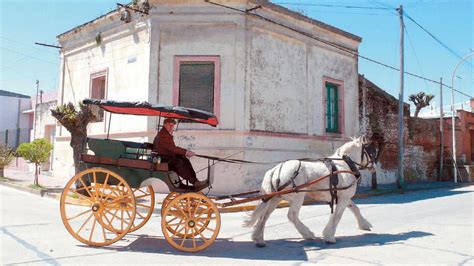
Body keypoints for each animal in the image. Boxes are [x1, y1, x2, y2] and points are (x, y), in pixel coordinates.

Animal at [244, 137, 378, 247]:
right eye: (371, 152)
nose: (375, 167)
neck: (344, 165)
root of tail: (276, 169)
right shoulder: (343, 197)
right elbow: (337, 215)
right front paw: (329, 236)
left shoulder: (344, 197)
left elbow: (355, 209)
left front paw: (364, 225)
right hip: (297, 197)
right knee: (292, 215)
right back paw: (307, 233)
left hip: (275, 198)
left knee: (264, 216)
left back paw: (259, 239)